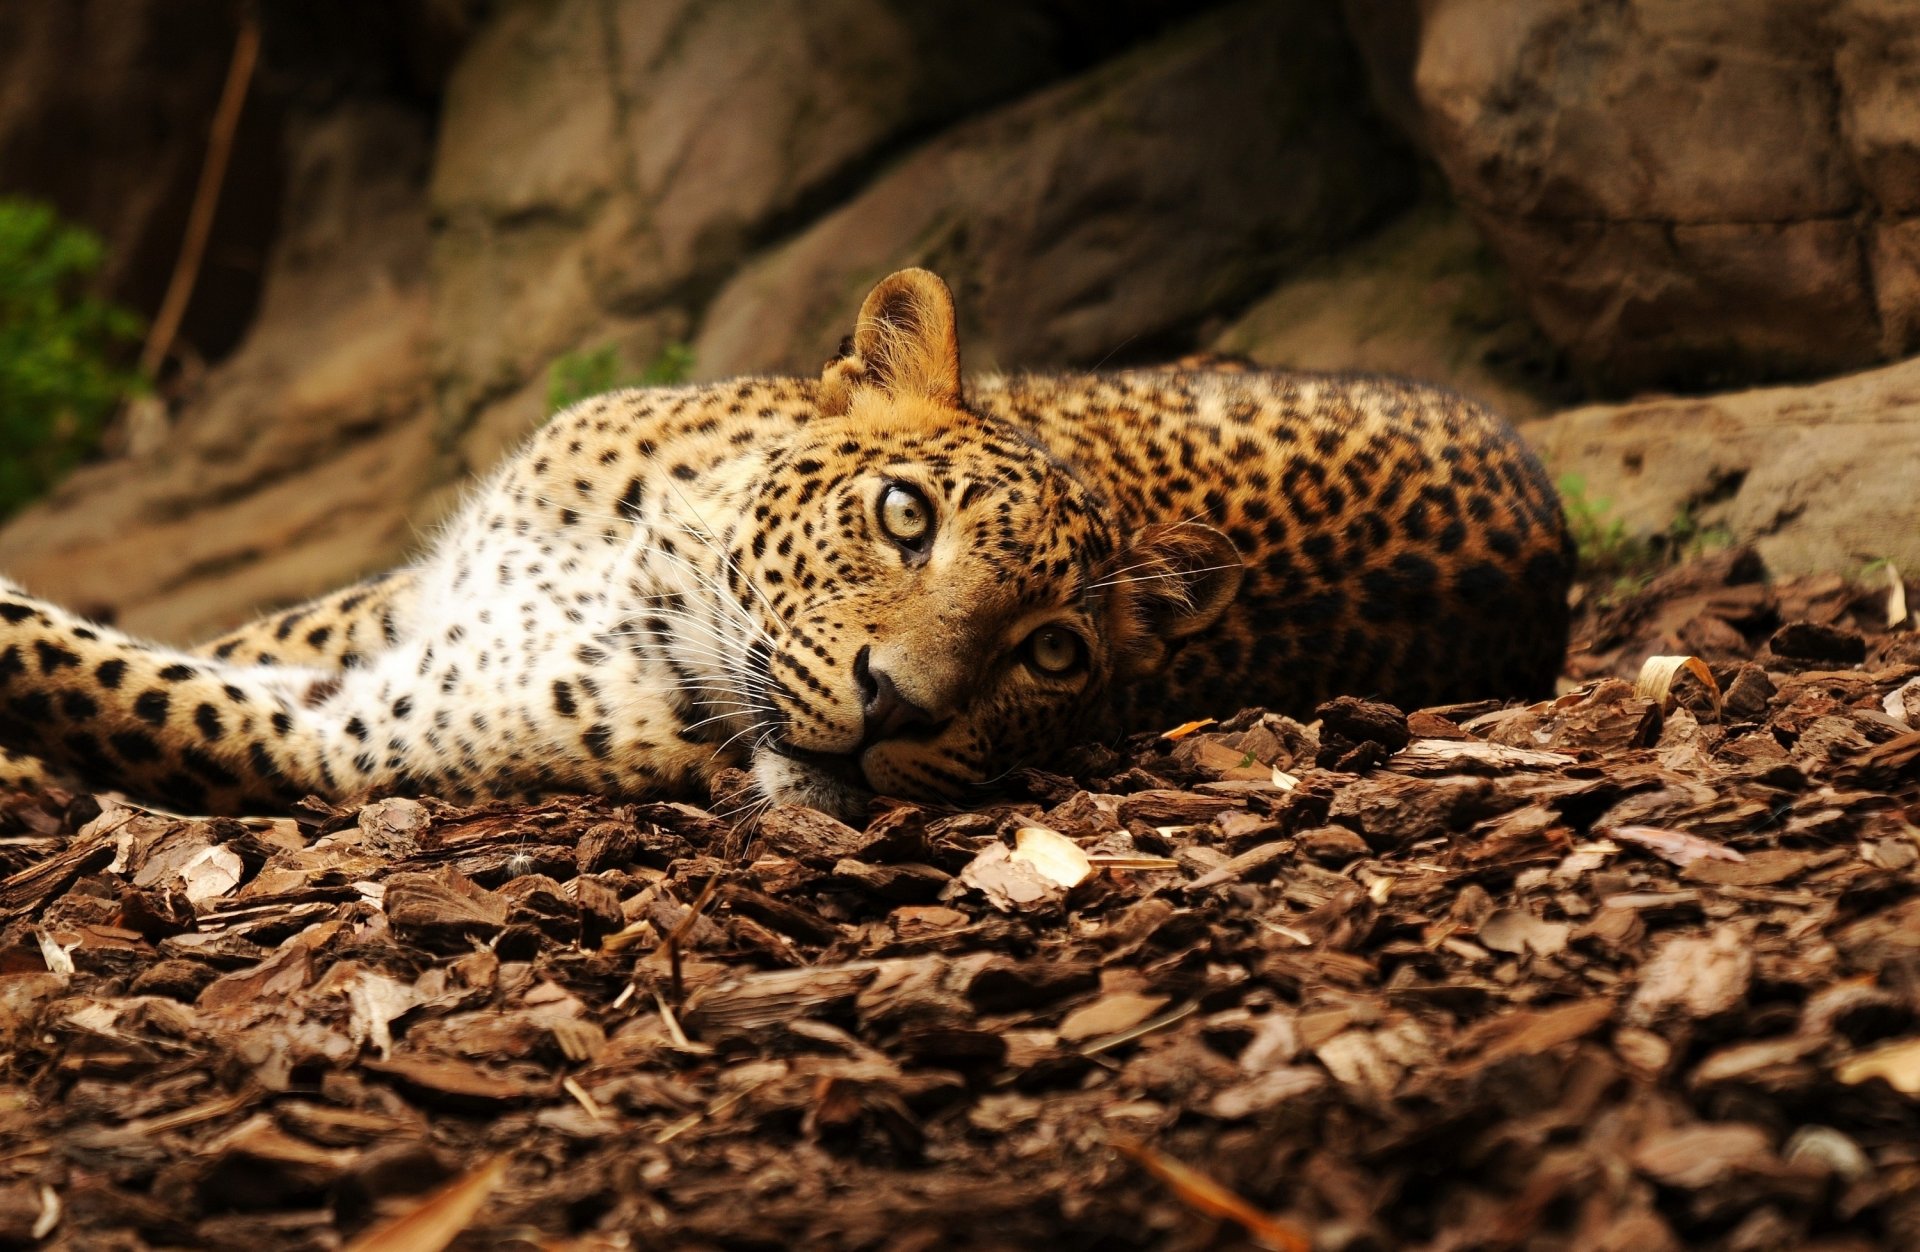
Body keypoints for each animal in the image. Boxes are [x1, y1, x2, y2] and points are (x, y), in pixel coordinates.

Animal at [0, 268, 1572, 821]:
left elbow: (88, 674)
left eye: (1053, 654)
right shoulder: (406, 603)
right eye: (905, 516)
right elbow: (225, 633)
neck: (640, 573)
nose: (900, 712)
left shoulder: (348, 738)